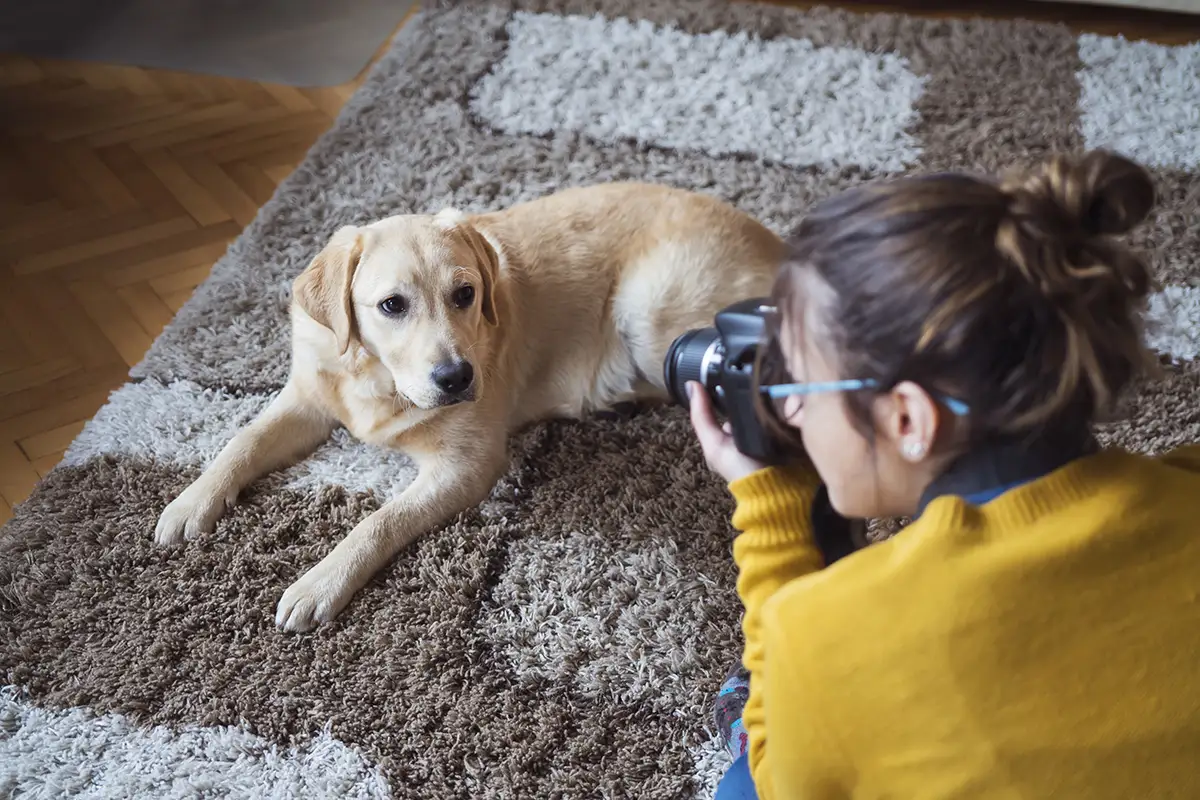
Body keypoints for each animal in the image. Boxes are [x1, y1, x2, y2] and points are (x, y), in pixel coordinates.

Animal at [152, 183, 787, 633]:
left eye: (466, 294)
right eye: (392, 305)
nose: (457, 377)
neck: (380, 379)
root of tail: (777, 244)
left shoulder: (467, 465)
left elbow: (379, 520)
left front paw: (321, 582)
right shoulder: (307, 398)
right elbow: (243, 441)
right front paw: (192, 501)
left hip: (650, 313)